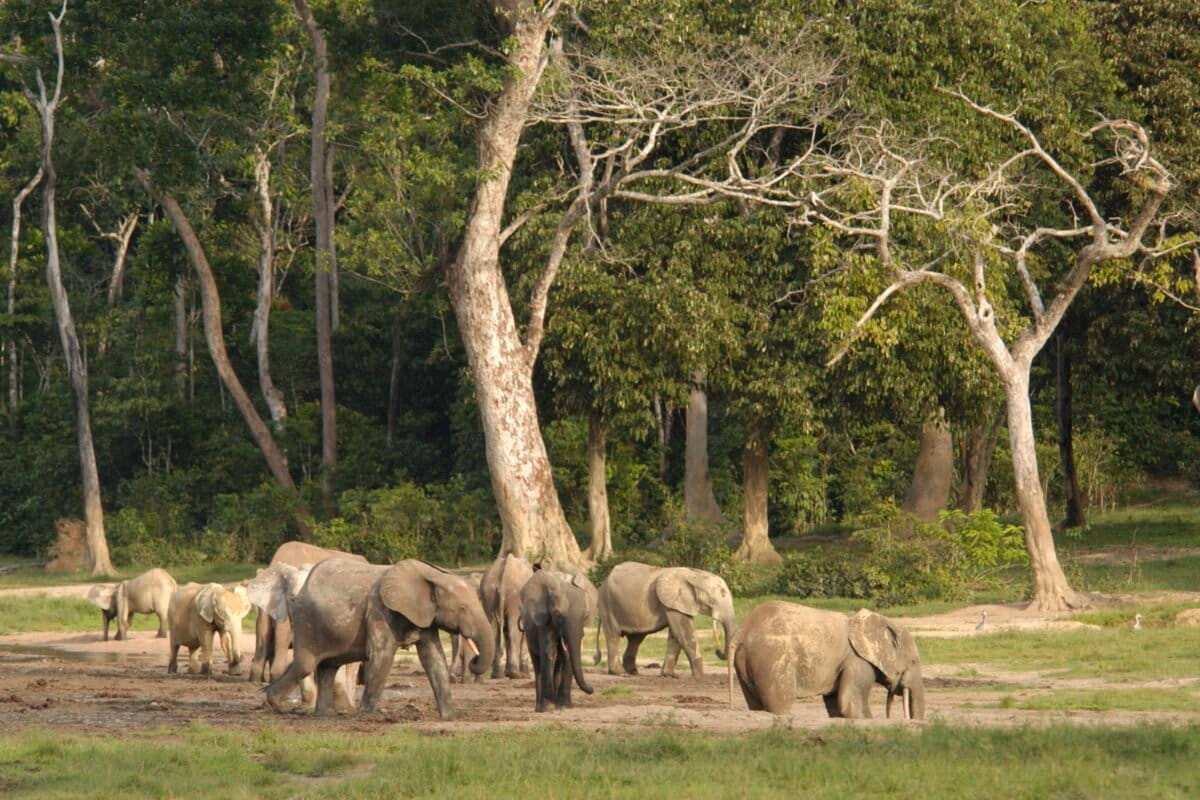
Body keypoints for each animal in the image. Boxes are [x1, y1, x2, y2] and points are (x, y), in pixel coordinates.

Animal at [266, 558, 493, 719]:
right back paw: (278, 706)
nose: (474, 662)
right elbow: (382, 657)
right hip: (306, 620)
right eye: (462, 609)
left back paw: (325, 715)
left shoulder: (424, 617)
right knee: (306, 664)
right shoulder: (379, 611)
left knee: (328, 667)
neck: (432, 575)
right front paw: (367, 716)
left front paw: (450, 717)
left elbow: (434, 658)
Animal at [519, 570, 596, 712]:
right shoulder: (544, 621)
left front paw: (564, 706)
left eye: (585, 616)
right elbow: (548, 652)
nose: (592, 689)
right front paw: (549, 707)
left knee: (558, 664)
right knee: (538, 664)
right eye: (557, 614)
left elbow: (567, 656)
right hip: (529, 634)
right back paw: (540, 707)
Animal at [597, 562, 735, 677]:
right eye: (722, 594)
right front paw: (700, 677)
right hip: (607, 604)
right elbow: (684, 633)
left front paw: (668, 675)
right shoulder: (673, 603)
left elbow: (676, 635)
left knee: (636, 638)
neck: (694, 574)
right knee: (613, 635)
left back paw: (633, 672)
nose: (717, 651)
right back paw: (620, 673)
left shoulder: (677, 604)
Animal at [728, 601, 926, 720]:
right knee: (781, 703)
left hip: (747, 661)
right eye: (914, 661)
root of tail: (742, 631)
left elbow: (835, 705)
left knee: (755, 704)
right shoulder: (857, 660)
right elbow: (848, 704)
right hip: (772, 659)